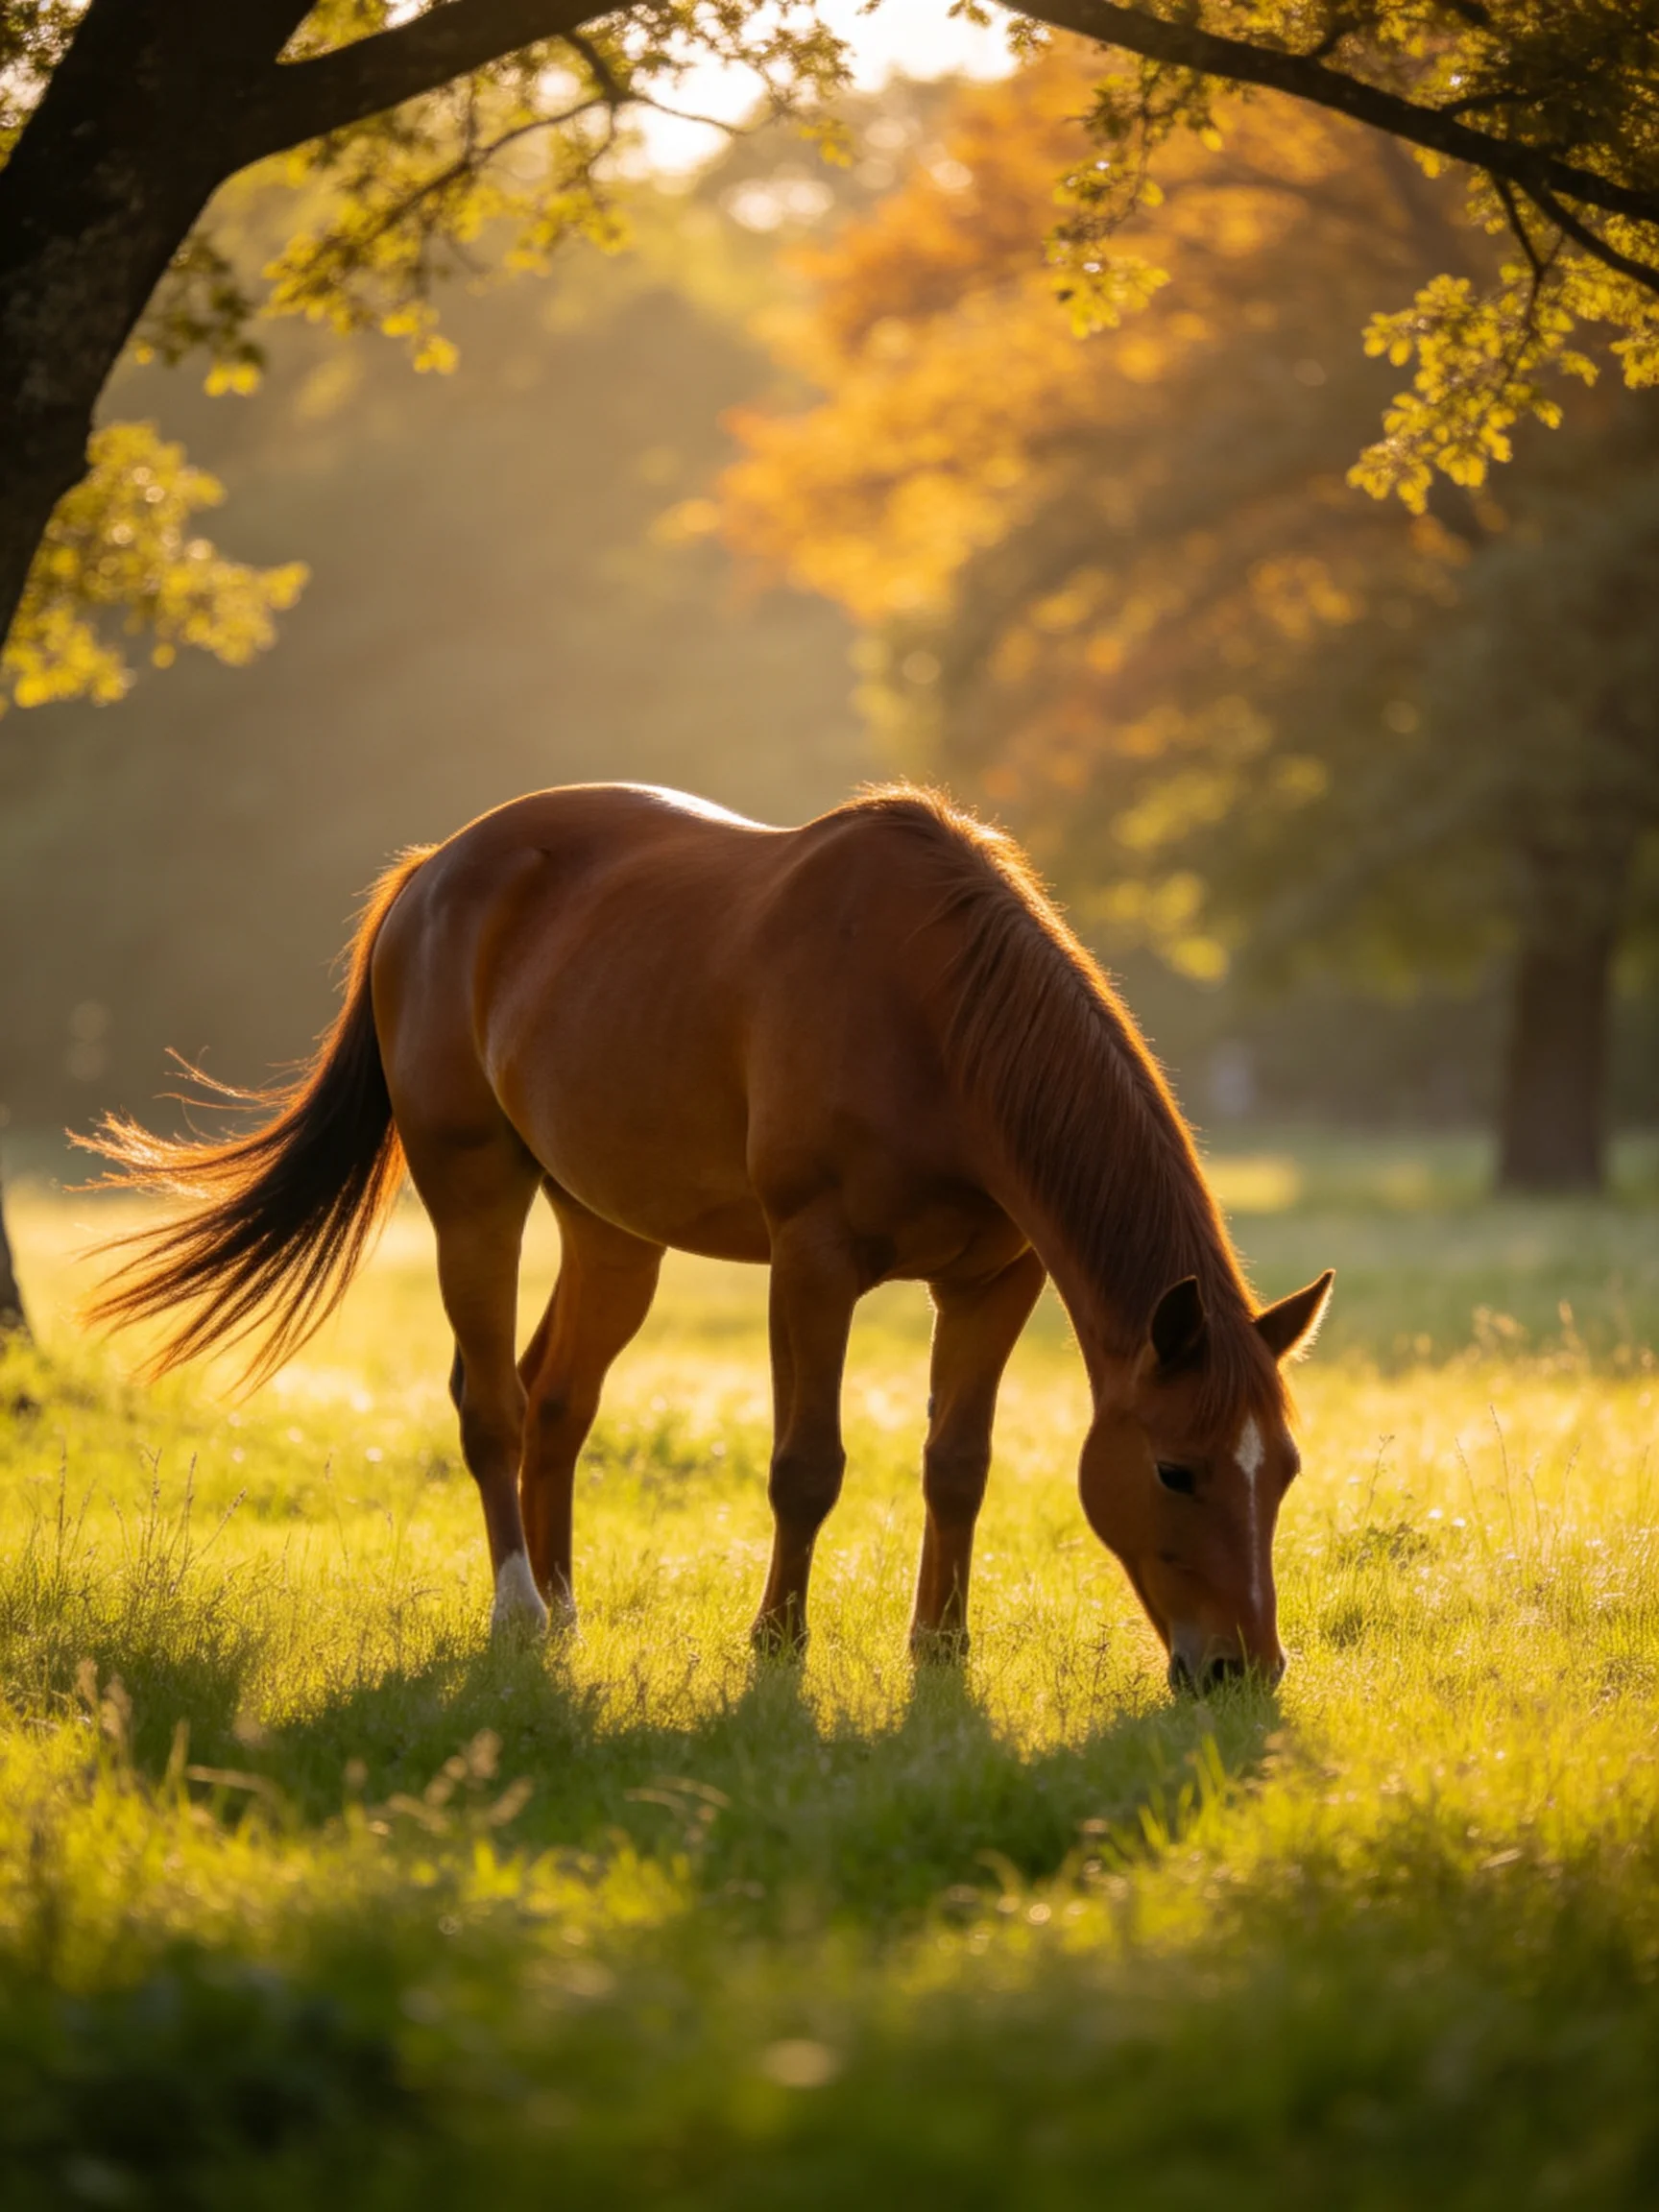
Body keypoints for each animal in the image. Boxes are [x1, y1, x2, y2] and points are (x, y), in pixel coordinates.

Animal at [82, 783, 1332, 1691]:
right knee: (491, 1404)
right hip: (474, 1193)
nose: (1244, 1671)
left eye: (1283, 1472)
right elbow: (806, 1466)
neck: (931, 1015)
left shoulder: (995, 1282)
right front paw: (778, 1648)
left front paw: (941, 1654)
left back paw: (566, 1607)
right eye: (1175, 1470)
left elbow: (958, 1466)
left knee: (557, 1401)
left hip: (610, 1231)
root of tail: (432, 871)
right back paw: (520, 1612)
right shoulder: (813, 1263)